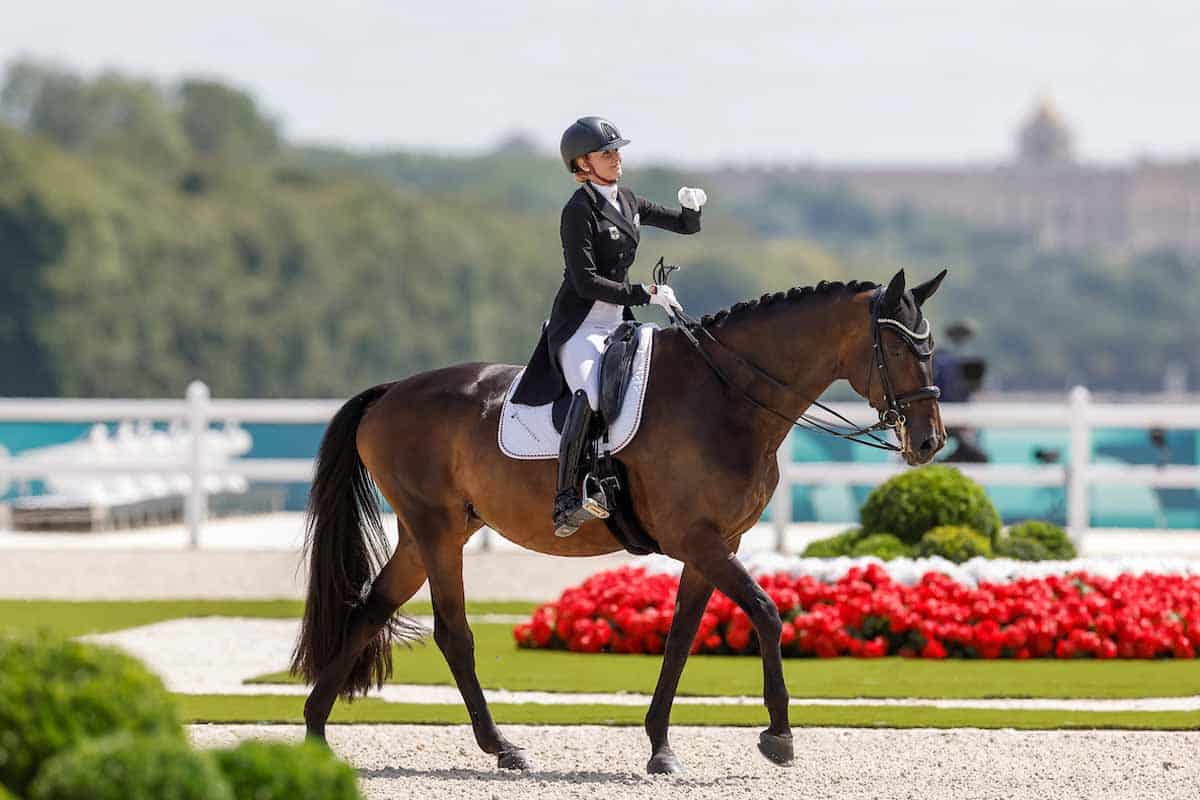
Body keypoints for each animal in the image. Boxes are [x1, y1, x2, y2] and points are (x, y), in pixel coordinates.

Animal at [290, 268, 945, 777]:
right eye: (901, 349)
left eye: (930, 347)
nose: (930, 442)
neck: (726, 398)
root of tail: (390, 393)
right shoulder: (698, 540)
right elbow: (765, 611)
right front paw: (778, 736)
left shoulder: (718, 543)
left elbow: (680, 638)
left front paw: (660, 747)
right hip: (436, 531)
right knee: (453, 633)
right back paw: (501, 747)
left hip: (428, 535)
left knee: (372, 608)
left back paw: (317, 731)